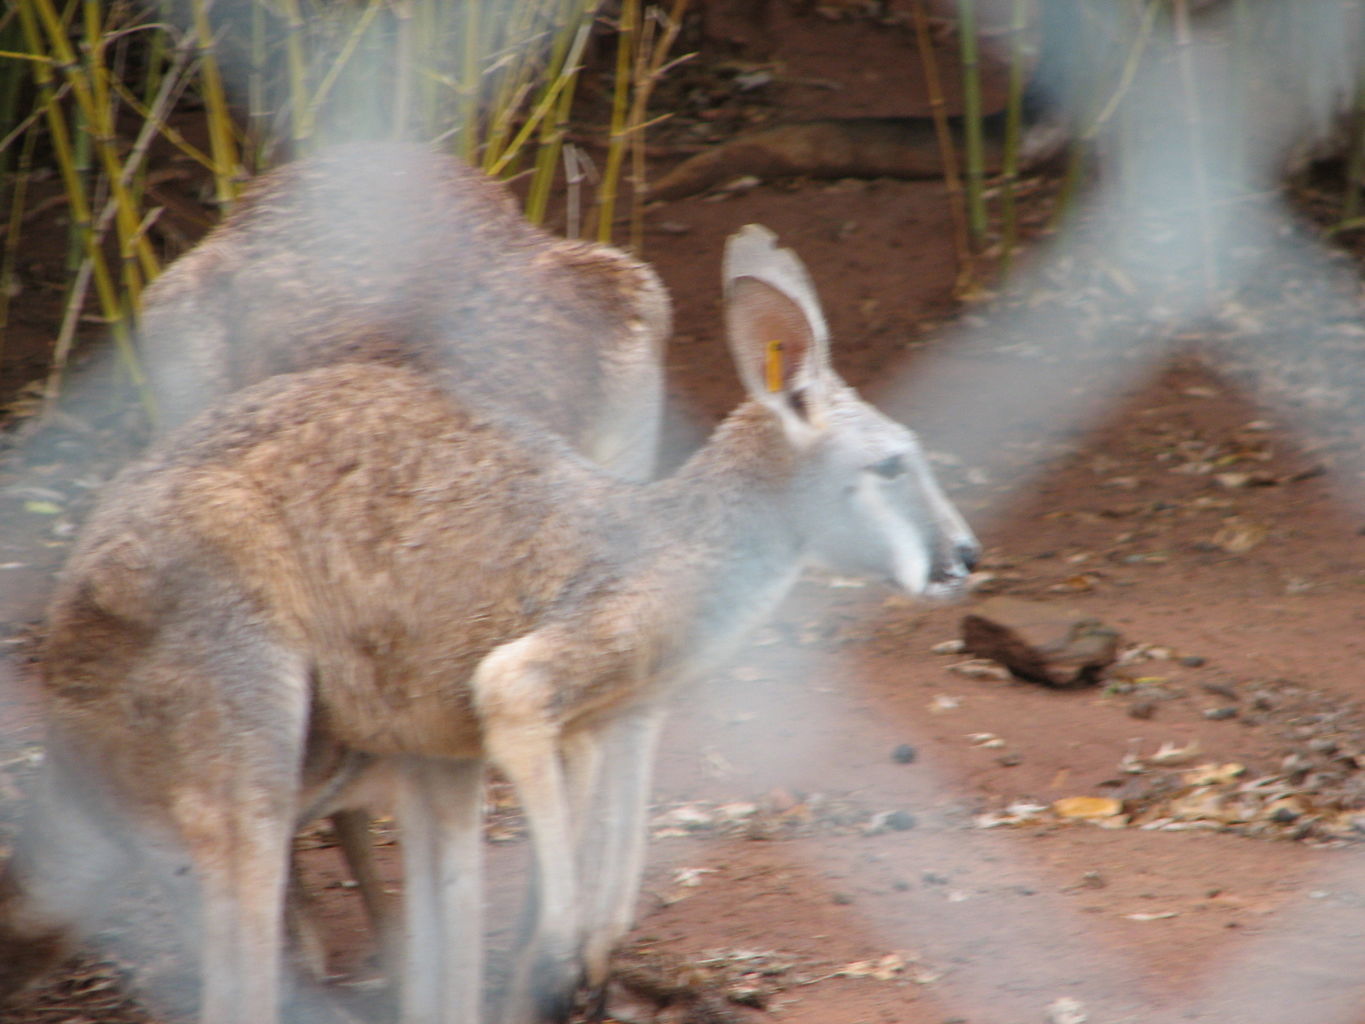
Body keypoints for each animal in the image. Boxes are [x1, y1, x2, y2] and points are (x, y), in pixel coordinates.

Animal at [0, 226, 982, 1024]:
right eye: (893, 466)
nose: (967, 556)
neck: (680, 541)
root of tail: (67, 716)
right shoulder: (549, 666)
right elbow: (514, 702)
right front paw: (562, 949)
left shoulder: (591, 714)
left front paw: (580, 955)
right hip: (232, 675)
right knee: (244, 934)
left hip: (392, 750)